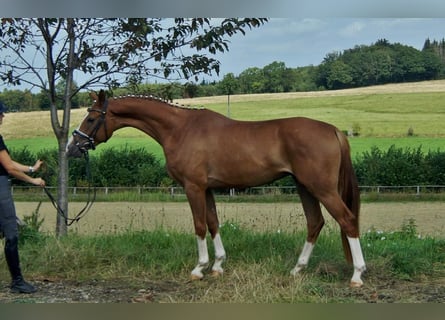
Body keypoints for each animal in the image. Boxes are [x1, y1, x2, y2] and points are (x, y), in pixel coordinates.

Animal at [66, 90, 364, 288]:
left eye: (91, 119)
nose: (72, 148)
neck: (181, 129)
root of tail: (334, 130)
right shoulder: (207, 189)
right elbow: (213, 223)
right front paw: (218, 265)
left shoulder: (193, 187)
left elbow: (199, 225)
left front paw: (199, 268)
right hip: (305, 187)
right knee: (315, 222)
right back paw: (297, 269)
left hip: (321, 188)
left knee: (347, 220)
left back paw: (357, 275)